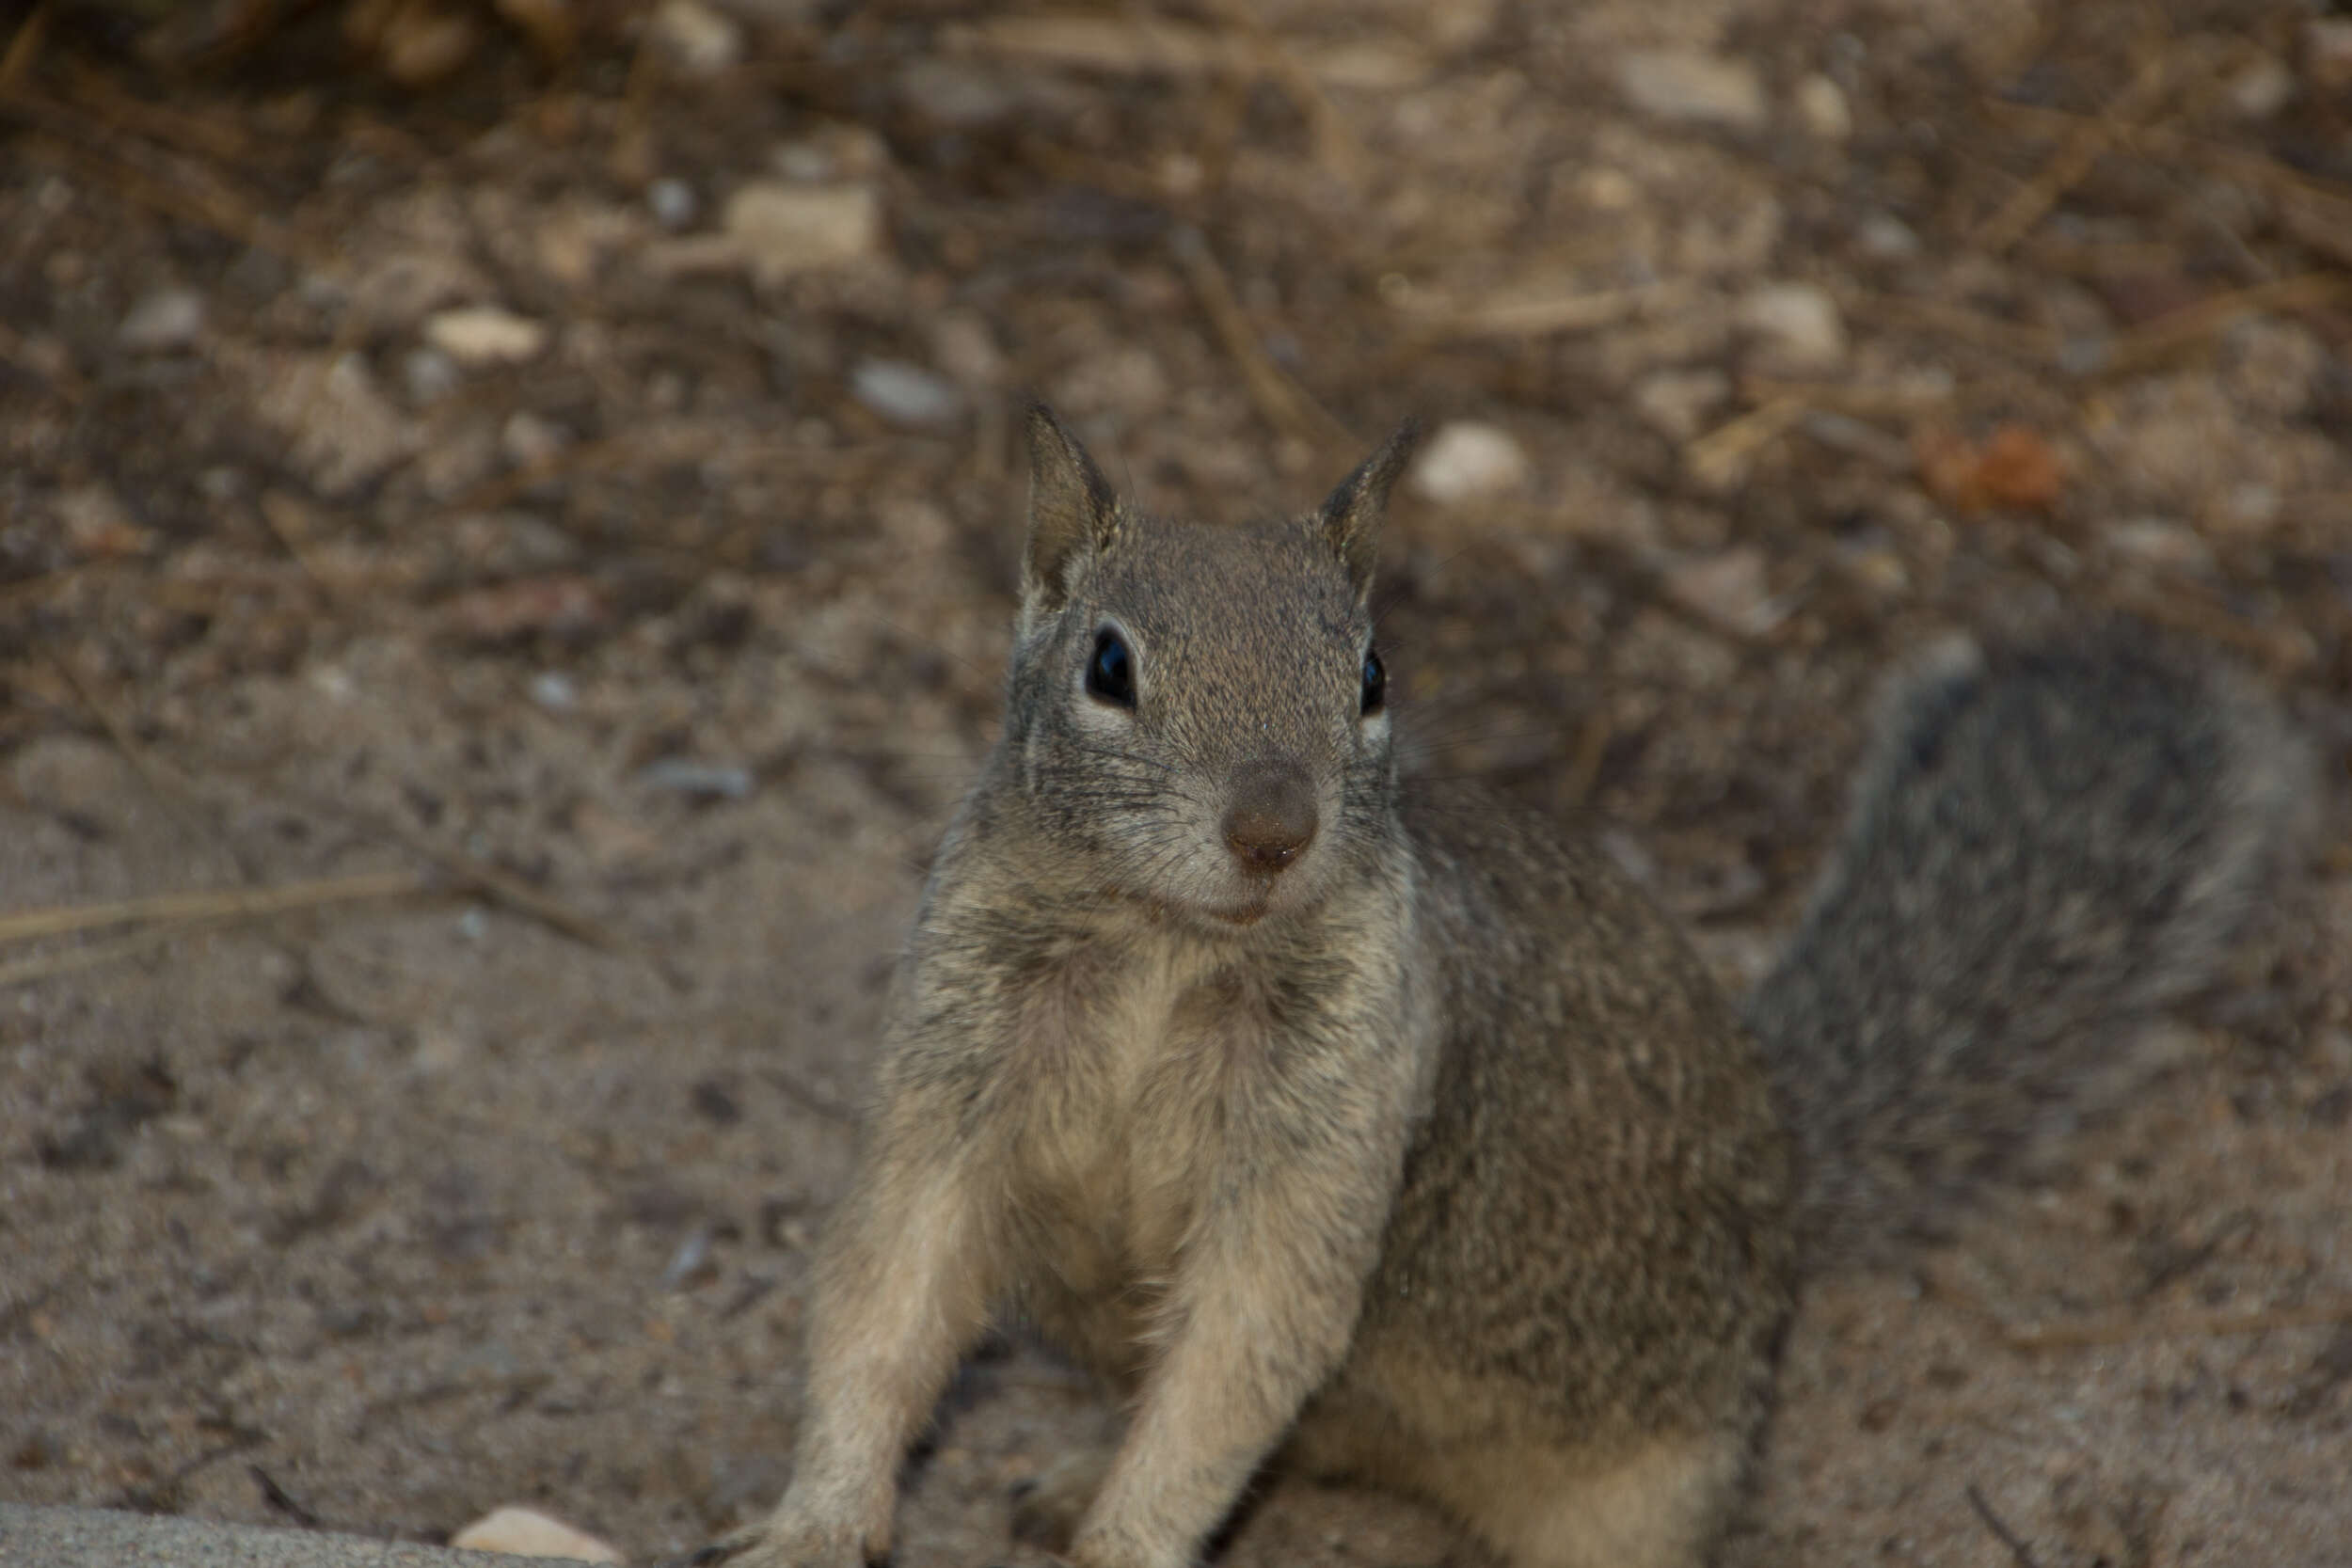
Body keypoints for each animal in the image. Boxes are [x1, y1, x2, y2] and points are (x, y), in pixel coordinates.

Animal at [701, 408, 2314, 1568]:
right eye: (1108, 665)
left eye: (1370, 673)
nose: (1275, 827)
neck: (1172, 947)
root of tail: (1788, 1168)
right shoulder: (953, 1070)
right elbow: (890, 1288)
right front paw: (812, 1523)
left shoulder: (1336, 1119)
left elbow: (1239, 1350)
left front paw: (1123, 1541)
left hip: (1646, 1474)